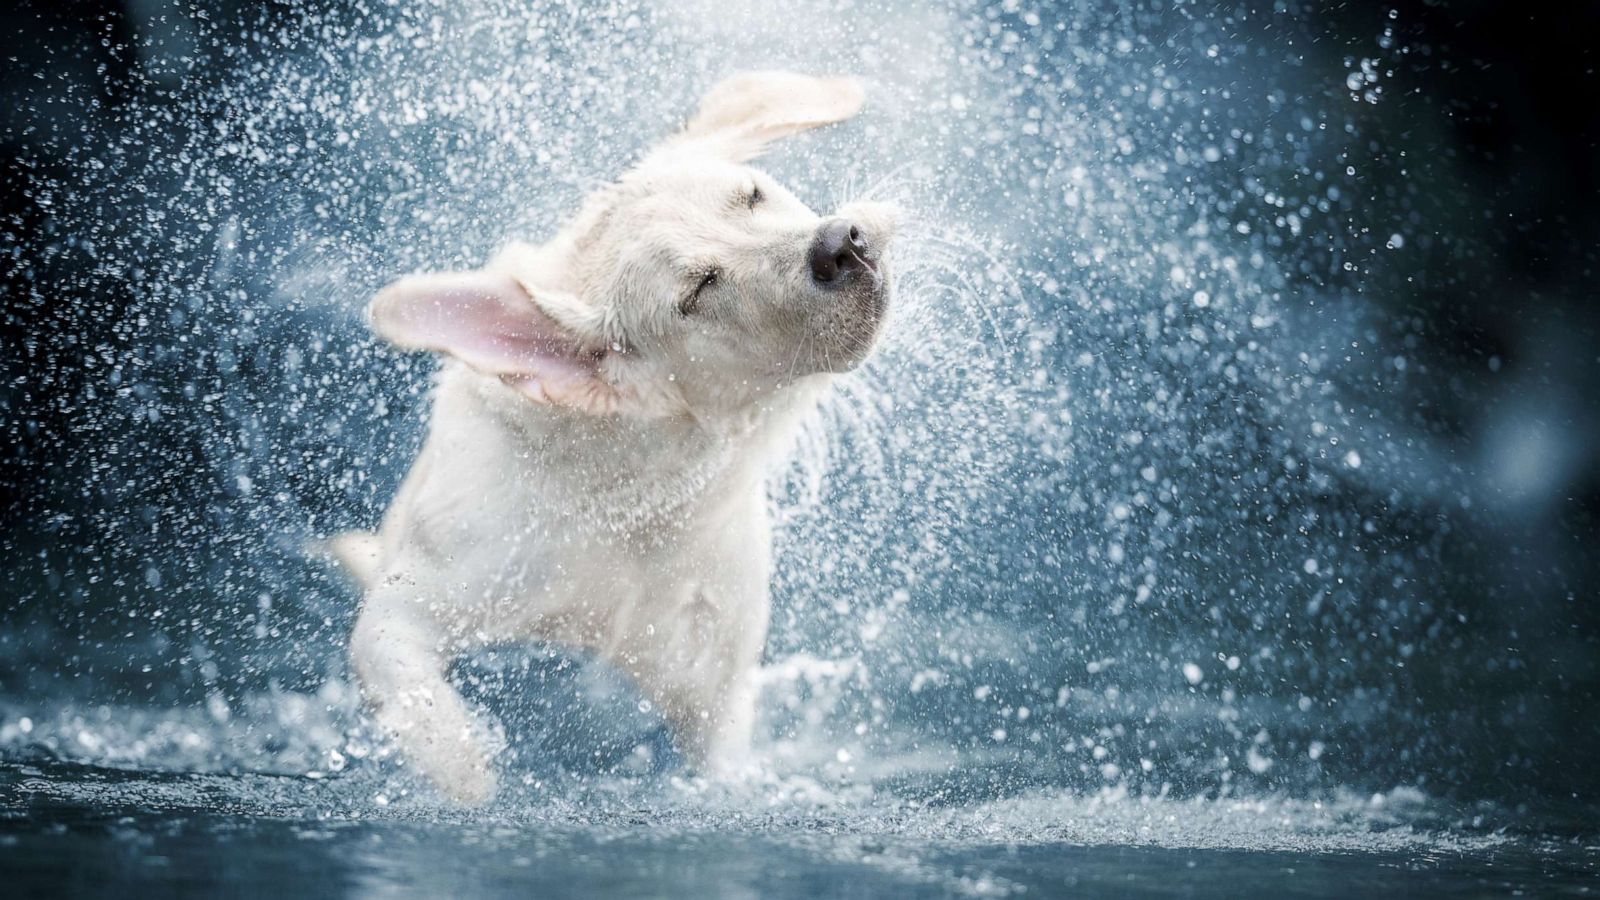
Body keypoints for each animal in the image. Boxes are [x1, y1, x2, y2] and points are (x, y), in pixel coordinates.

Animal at [329, 70, 896, 797]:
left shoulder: (715, 674)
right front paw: (471, 775)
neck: (634, 496)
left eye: (753, 194)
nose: (840, 244)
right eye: (698, 291)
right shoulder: (433, 582)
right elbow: (414, 693)